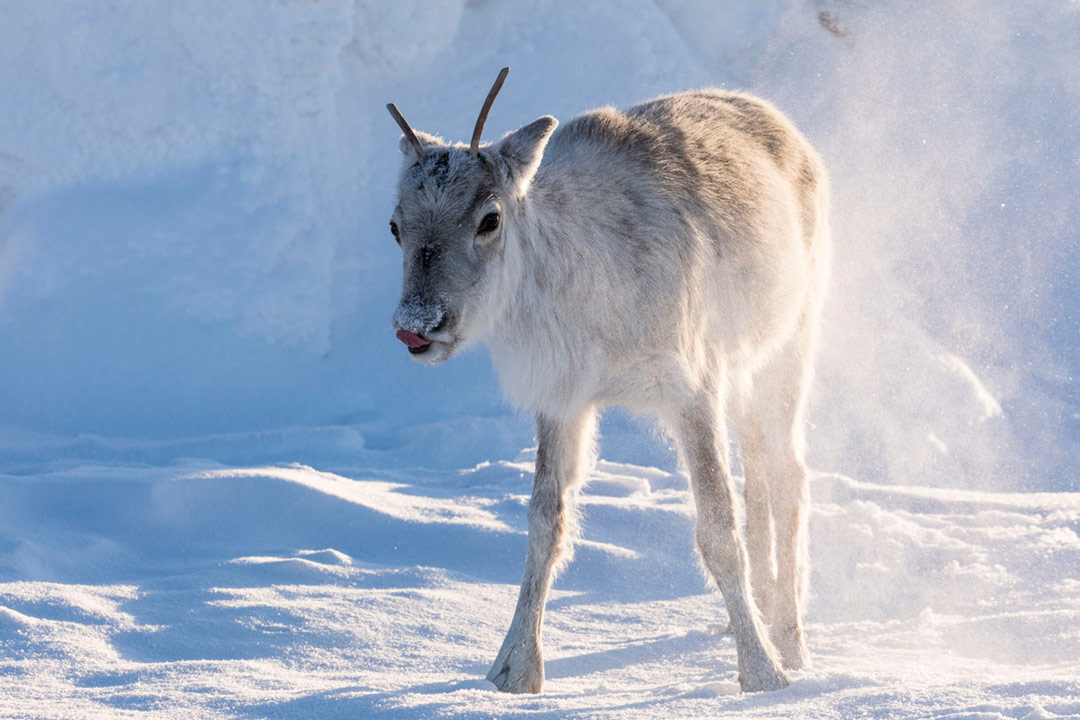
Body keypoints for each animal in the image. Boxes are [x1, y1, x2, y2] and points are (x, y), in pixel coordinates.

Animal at [386, 69, 825, 690]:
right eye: (394, 226)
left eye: (490, 218)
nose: (416, 324)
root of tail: (787, 128)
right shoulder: (562, 397)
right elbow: (545, 525)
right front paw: (513, 670)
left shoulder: (692, 385)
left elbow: (718, 530)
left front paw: (762, 674)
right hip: (744, 369)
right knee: (759, 468)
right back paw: (744, 621)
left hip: (790, 343)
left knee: (789, 475)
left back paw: (788, 641)